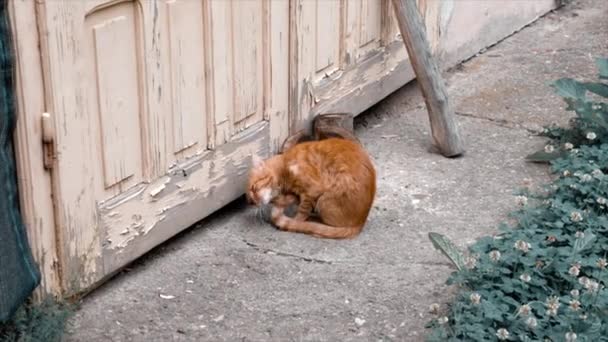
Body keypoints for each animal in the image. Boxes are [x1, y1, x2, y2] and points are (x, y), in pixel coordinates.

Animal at [247, 138, 376, 239]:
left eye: (253, 188)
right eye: (250, 200)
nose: (253, 202)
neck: (285, 165)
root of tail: (361, 222)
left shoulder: (313, 190)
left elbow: (302, 210)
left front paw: (295, 222)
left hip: (324, 201)